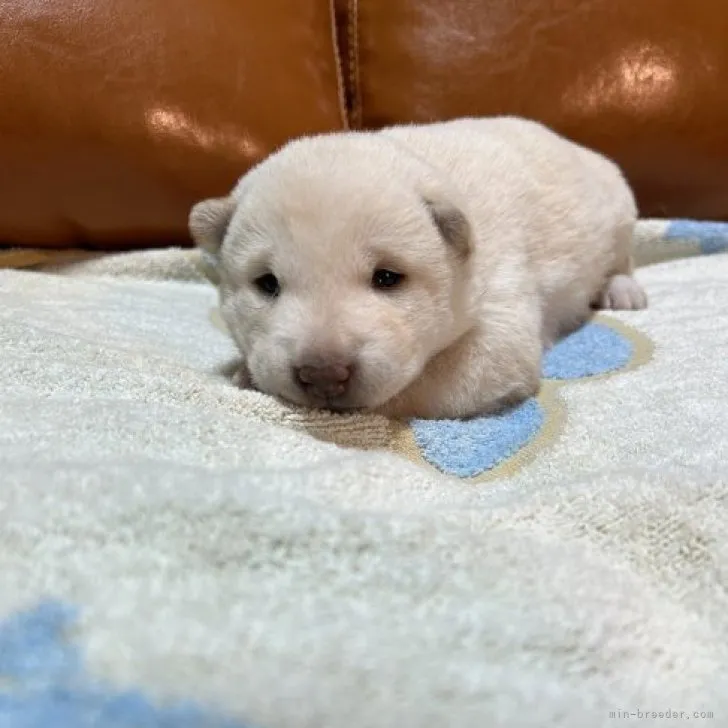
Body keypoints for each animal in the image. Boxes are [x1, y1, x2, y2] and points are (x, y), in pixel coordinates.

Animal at [189, 116, 648, 418]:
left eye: (387, 277)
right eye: (267, 283)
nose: (322, 374)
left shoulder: (500, 311)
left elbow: (419, 386)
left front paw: (249, 377)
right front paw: (245, 371)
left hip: (619, 209)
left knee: (622, 257)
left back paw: (622, 290)